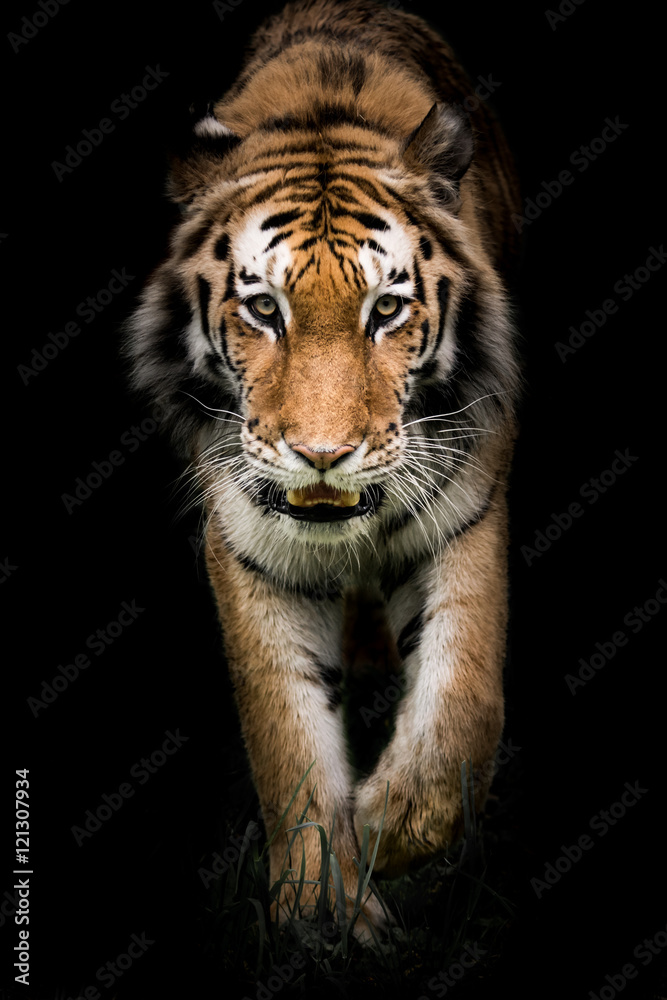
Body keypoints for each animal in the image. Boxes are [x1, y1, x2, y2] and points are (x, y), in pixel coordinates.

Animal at [124, 0, 521, 939]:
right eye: (264, 308)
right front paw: (323, 911)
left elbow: (464, 697)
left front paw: (390, 827)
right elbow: (283, 731)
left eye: (387, 310)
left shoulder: (466, 512)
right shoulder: (248, 541)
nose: (323, 455)